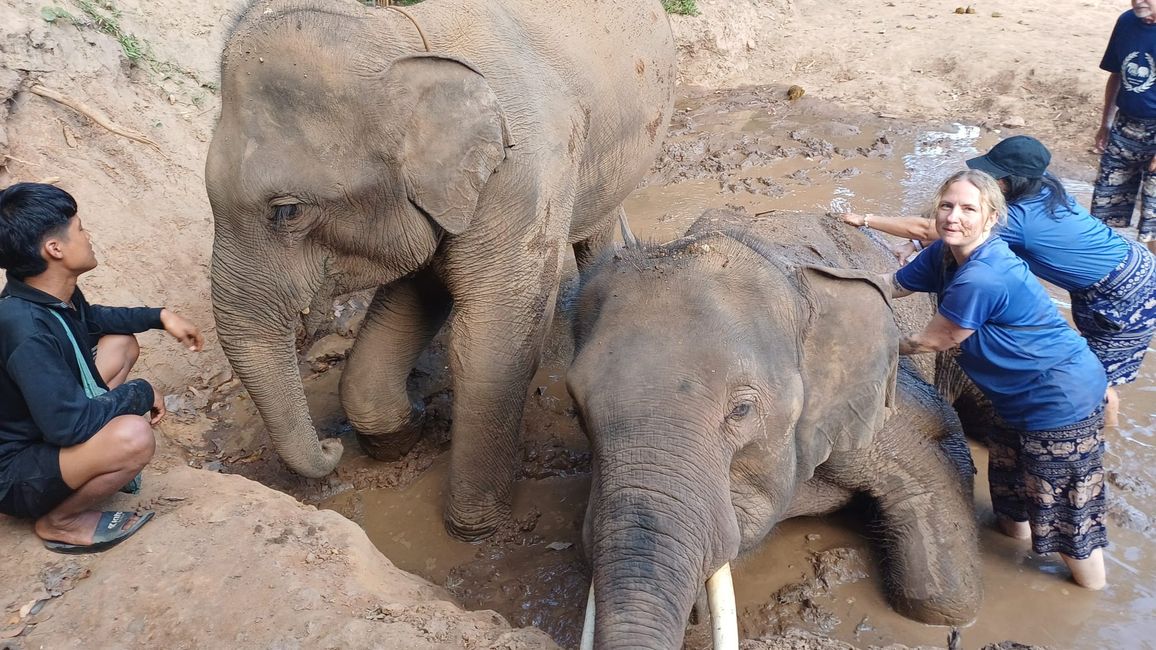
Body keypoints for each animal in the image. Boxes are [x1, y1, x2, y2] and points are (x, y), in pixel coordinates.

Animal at [204, 0, 676, 539]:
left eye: (286, 211)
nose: (331, 447)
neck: (397, 38)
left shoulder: (521, 175)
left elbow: (489, 341)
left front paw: (475, 530)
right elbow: (413, 299)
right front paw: (400, 434)